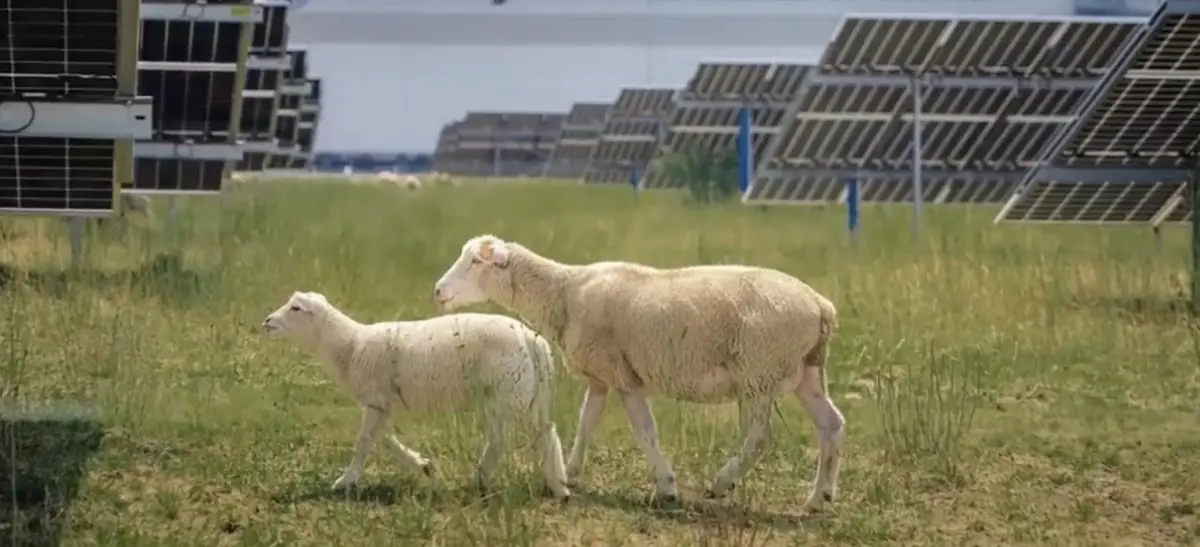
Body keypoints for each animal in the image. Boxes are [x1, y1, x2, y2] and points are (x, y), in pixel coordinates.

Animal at [260, 291, 571, 500]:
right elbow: (385, 440)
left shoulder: (375, 401)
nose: (266, 322)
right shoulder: (382, 404)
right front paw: (422, 465)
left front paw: (345, 481)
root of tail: (534, 340)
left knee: (545, 435)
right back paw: (480, 479)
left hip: (516, 392)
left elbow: (364, 442)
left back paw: (559, 486)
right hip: (501, 393)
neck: (350, 347)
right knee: (501, 438)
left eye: (296, 308)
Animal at [431, 235, 845, 512]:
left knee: (760, 436)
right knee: (832, 424)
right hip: (806, 370)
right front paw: (570, 473)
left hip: (758, 369)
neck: (564, 291)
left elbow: (646, 433)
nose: (437, 291)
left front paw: (667, 487)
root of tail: (820, 305)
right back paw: (819, 498)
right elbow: (586, 424)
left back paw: (721, 483)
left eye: (476, 262)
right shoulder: (601, 376)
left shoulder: (624, 377)